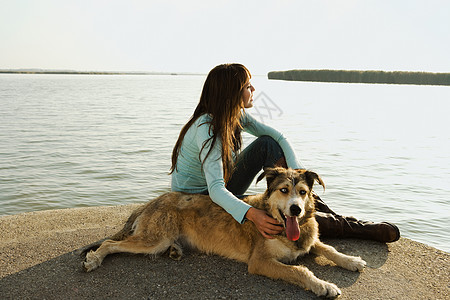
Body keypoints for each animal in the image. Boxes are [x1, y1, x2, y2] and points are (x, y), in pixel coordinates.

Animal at [81, 169, 366, 298]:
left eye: (303, 192)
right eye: (284, 190)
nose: (296, 209)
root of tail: (151, 201)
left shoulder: (307, 240)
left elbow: (328, 248)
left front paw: (351, 260)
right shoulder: (259, 261)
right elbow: (299, 270)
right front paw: (324, 285)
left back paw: (175, 250)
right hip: (153, 239)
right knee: (109, 243)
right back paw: (94, 259)